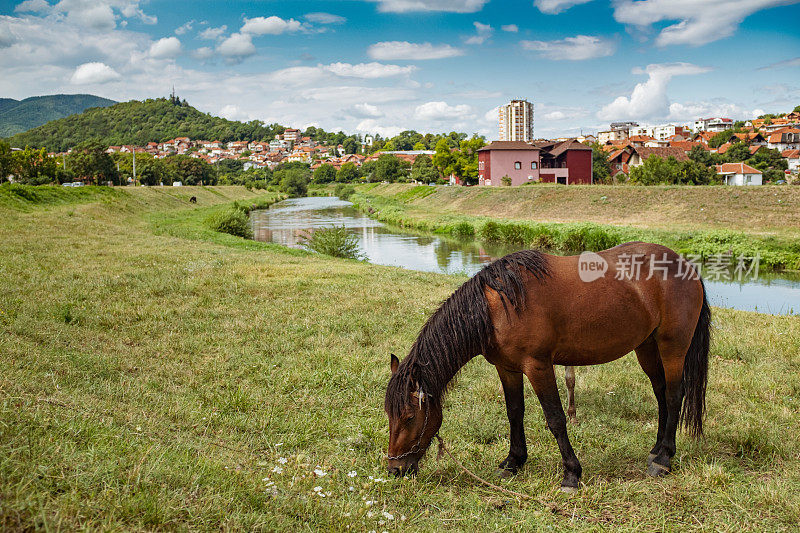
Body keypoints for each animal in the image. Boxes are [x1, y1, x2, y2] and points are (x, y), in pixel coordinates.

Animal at [388, 241, 712, 490]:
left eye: (408, 417)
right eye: (389, 415)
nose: (394, 469)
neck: (499, 307)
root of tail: (686, 265)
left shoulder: (538, 366)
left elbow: (555, 418)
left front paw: (571, 473)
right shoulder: (507, 369)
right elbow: (514, 413)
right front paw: (513, 462)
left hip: (672, 347)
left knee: (674, 395)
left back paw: (664, 459)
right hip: (646, 347)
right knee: (660, 394)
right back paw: (656, 450)